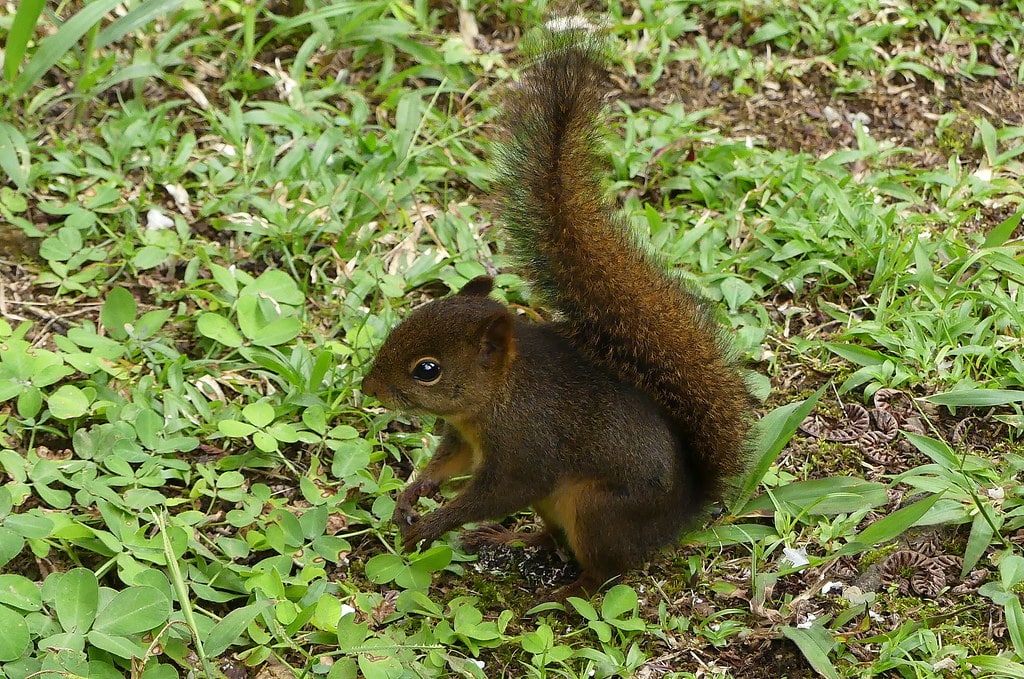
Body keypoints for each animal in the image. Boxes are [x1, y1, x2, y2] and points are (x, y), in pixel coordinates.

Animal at [361, 25, 753, 601]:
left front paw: (433, 523)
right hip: (556, 508)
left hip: (594, 511)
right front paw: (413, 495)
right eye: (405, 322)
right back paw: (512, 539)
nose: (368, 388)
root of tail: (681, 513)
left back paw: (561, 594)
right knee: (552, 540)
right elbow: (447, 465)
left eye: (427, 370)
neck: (498, 394)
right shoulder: (466, 439)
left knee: (605, 573)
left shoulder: (527, 449)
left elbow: (496, 492)